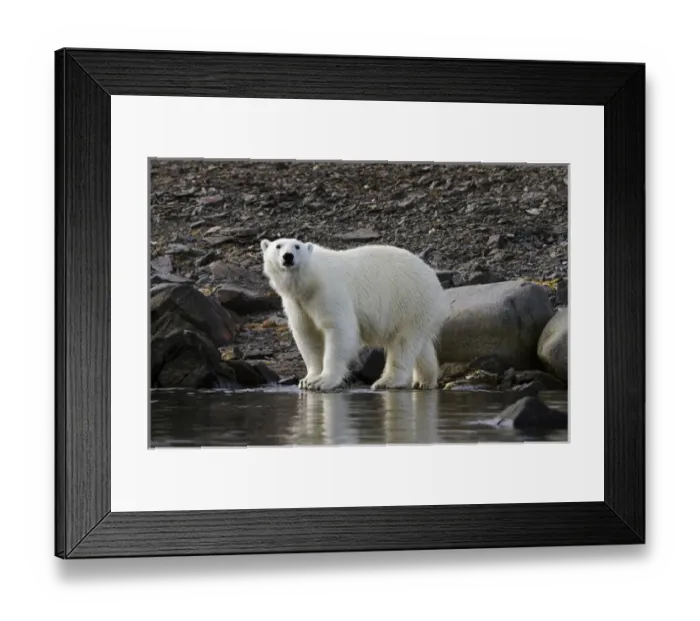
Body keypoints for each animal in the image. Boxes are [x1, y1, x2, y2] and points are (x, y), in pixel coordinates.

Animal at [260, 237, 448, 392]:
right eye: (278, 246)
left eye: (297, 246)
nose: (288, 256)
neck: (308, 280)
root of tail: (433, 278)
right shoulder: (297, 304)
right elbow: (307, 335)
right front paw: (308, 380)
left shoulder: (329, 292)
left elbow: (339, 330)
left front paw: (323, 381)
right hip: (420, 311)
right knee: (420, 346)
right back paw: (424, 381)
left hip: (410, 301)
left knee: (403, 344)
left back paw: (387, 381)